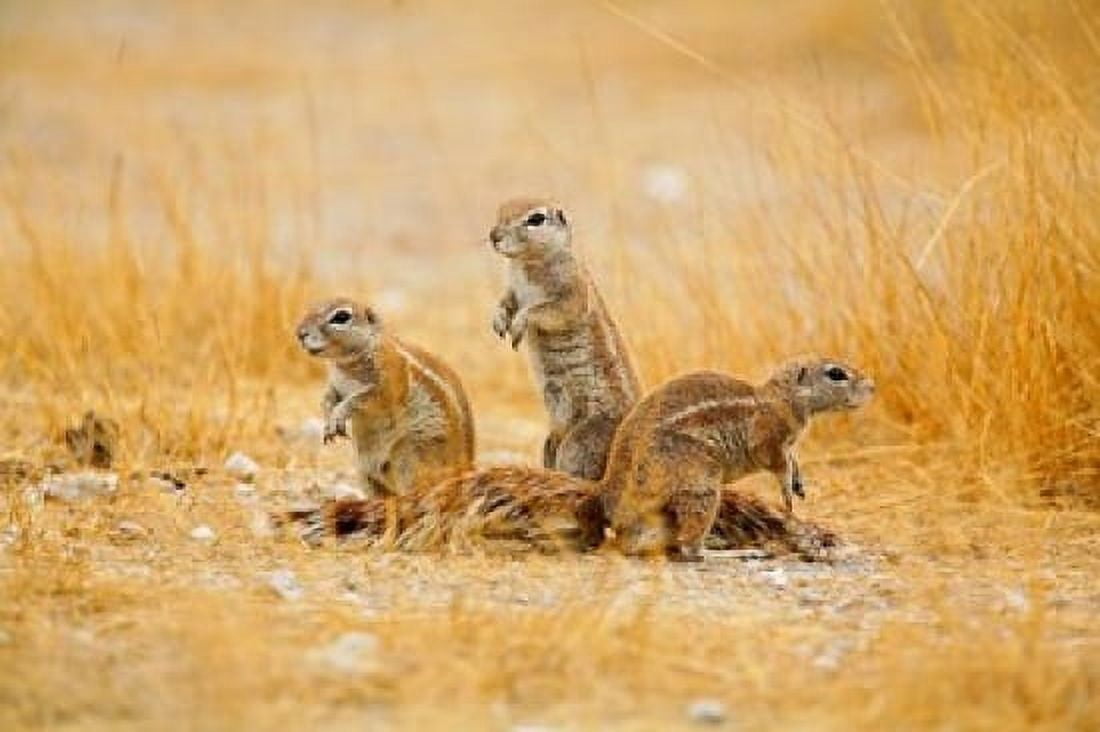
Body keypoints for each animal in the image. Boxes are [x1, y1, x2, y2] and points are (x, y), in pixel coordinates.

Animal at [295, 297, 475, 502]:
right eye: (312, 306)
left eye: (341, 317)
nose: (300, 333)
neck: (346, 364)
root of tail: (465, 469)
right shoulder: (336, 386)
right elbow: (327, 399)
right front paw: (328, 422)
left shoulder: (388, 383)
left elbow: (362, 398)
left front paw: (340, 414)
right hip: (364, 473)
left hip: (411, 454)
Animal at [488, 197, 641, 481]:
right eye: (500, 211)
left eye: (536, 219)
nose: (494, 237)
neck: (526, 264)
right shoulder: (513, 289)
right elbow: (506, 300)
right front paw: (499, 320)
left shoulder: (572, 292)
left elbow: (548, 310)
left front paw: (519, 323)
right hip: (551, 440)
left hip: (581, 441)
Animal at [601, 357, 874, 561]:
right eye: (836, 373)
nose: (872, 387)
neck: (782, 398)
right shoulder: (769, 441)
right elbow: (778, 465)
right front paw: (787, 492)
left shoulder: (787, 446)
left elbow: (792, 458)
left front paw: (799, 483)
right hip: (702, 485)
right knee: (689, 549)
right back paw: (738, 552)